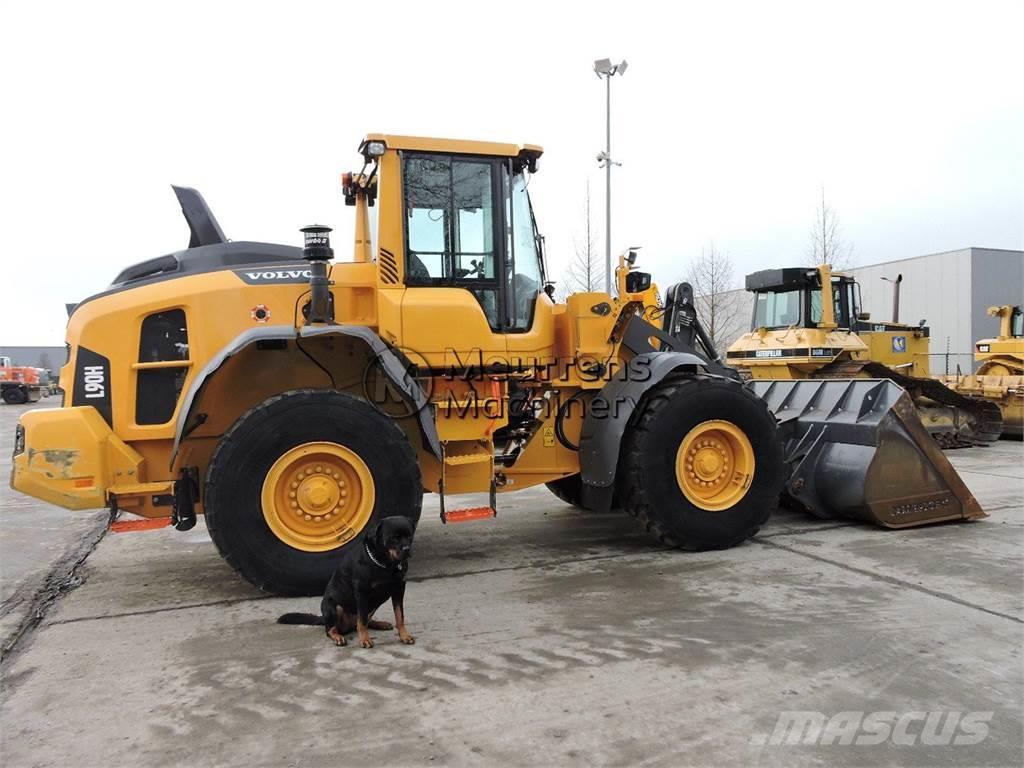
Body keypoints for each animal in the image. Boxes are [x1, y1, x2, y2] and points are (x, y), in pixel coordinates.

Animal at [276, 518, 415, 651]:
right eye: (394, 538)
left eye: (409, 536)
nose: (407, 549)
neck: (386, 564)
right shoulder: (361, 592)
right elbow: (362, 621)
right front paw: (364, 640)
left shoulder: (399, 589)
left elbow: (400, 616)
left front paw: (404, 636)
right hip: (334, 607)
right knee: (332, 629)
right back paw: (338, 637)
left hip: (371, 607)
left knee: (364, 621)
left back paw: (380, 623)